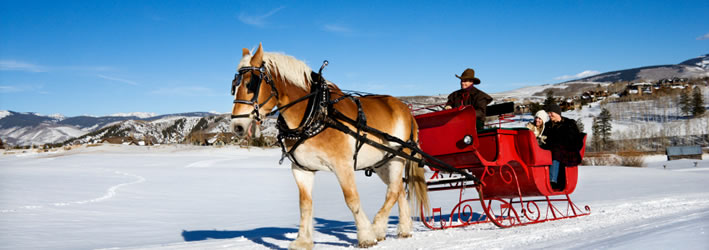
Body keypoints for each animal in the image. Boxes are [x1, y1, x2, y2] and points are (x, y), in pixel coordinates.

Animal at [230, 44, 428, 249]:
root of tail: (406, 110)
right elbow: (305, 204)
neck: (316, 112)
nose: (237, 126)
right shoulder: (302, 169)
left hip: (398, 157)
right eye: (234, 85)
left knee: (393, 190)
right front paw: (303, 241)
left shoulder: (342, 165)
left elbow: (352, 199)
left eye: (251, 84)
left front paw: (366, 235)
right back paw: (404, 229)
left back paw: (378, 227)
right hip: (381, 163)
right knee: (398, 190)